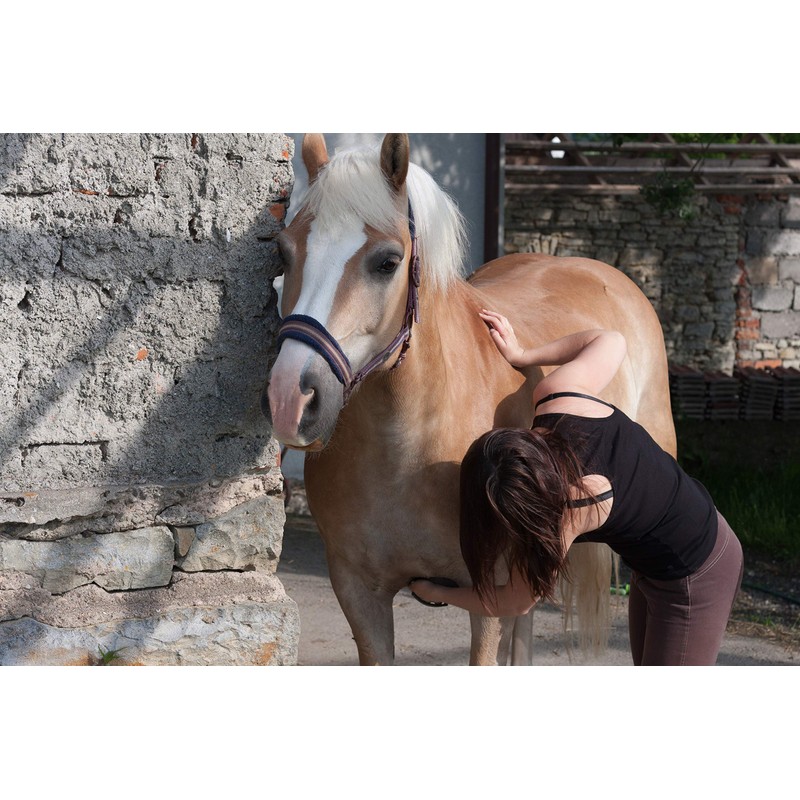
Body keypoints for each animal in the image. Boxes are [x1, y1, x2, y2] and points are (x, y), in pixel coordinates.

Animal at [264, 133, 676, 666]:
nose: (290, 399)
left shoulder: (487, 598)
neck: (411, 446)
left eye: (387, 262)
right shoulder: (358, 592)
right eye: (283, 252)